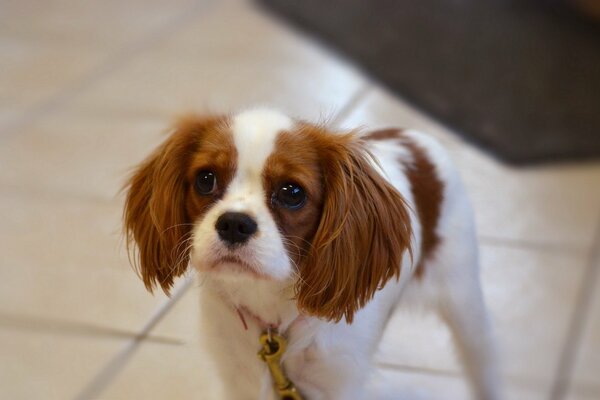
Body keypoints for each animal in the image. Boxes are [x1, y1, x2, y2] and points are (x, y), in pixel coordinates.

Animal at [123, 108, 502, 398]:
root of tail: (414, 138)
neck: (273, 316)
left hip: (466, 308)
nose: (233, 223)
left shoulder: (335, 382)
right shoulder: (240, 381)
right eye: (206, 179)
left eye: (292, 192)